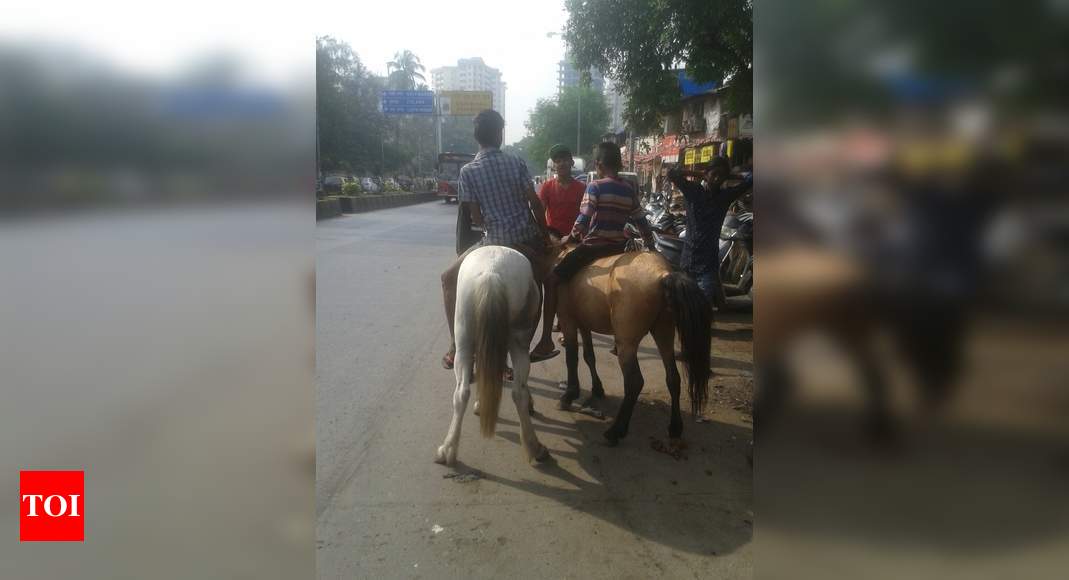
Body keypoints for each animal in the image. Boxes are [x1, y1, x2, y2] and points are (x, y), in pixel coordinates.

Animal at [434, 245, 551, 467]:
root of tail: (492, 274)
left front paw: (480, 403)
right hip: (518, 338)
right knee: (518, 392)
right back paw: (534, 446)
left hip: (464, 337)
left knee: (461, 393)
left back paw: (448, 450)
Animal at [555, 247, 714, 446]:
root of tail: (662, 274)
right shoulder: (584, 324)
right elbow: (589, 356)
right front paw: (597, 388)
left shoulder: (568, 320)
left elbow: (572, 357)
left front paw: (569, 395)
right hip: (664, 332)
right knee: (673, 378)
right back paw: (675, 427)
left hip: (626, 343)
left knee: (634, 382)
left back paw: (616, 431)